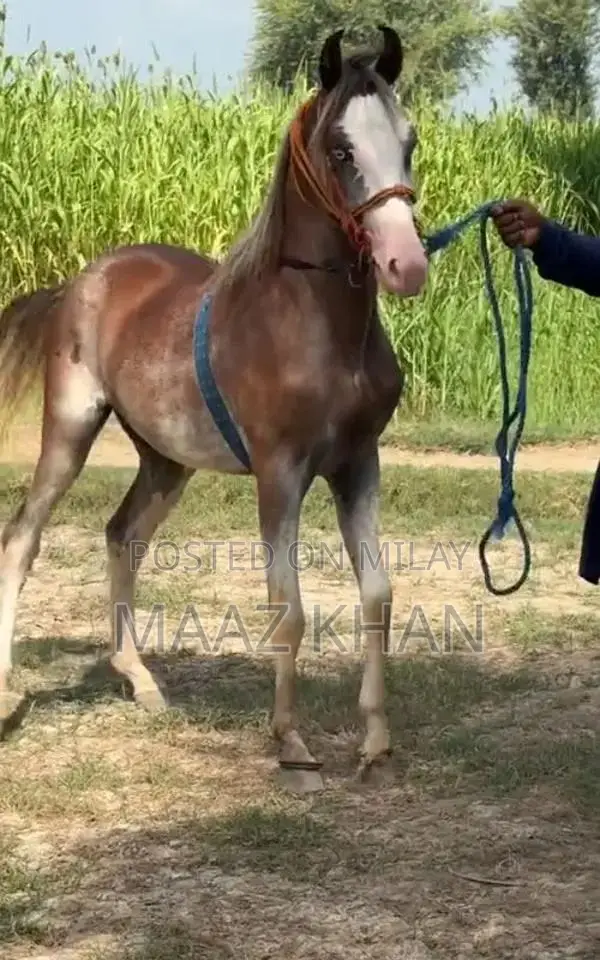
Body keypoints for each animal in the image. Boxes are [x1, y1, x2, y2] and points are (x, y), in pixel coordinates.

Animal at [0, 25, 428, 791]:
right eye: (341, 148)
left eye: (407, 140)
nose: (406, 265)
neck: (312, 326)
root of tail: (82, 280)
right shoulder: (280, 472)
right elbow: (287, 607)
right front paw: (291, 742)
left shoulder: (358, 464)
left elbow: (376, 595)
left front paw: (376, 742)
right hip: (69, 432)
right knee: (22, 538)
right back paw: (7, 694)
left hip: (165, 461)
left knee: (122, 534)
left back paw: (140, 681)